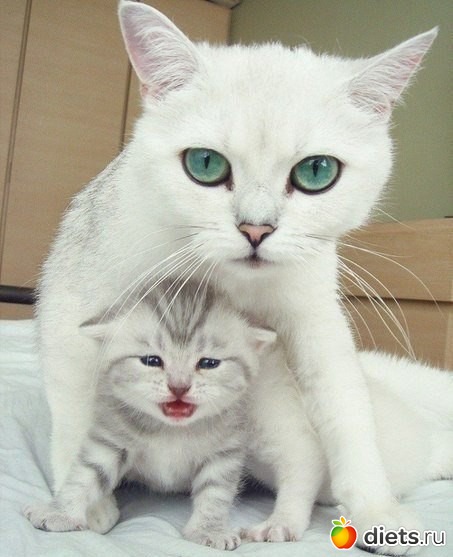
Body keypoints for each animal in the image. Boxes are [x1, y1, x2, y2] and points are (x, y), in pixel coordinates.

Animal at [25, 281, 276, 550]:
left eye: (208, 363)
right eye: (152, 360)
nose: (179, 387)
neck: (172, 430)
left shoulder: (225, 449)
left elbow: (215, 492)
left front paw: (209, 529)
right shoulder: (112, 435)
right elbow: (85, 474)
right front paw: (60, 512)